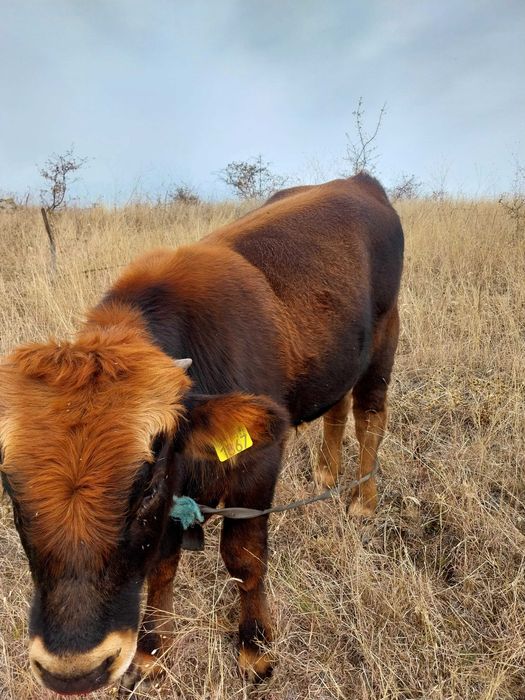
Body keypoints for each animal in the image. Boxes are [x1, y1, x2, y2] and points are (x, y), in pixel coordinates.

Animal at [0, 174, 403, 695]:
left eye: (146, 487)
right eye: (11, 490)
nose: (74, 671)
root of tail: (357, 181)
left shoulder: (257, 466)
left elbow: (244, 559)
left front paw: (255, 649)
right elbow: (163, 565)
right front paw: (152, 652)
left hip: (385, 338)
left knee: (369, 416)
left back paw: (362, 500)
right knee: (337, 409)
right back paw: (325, 474)